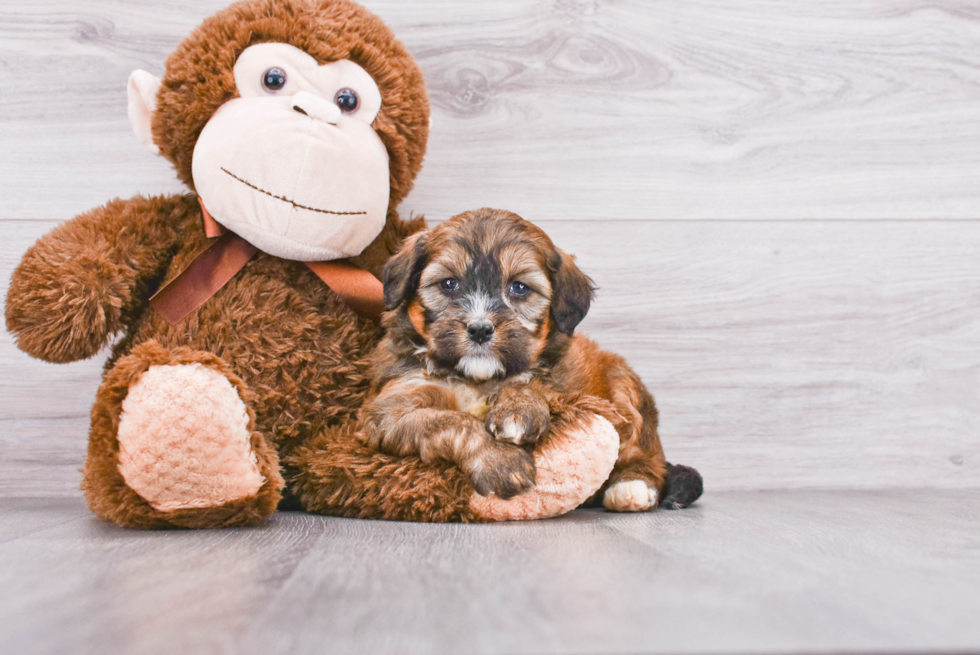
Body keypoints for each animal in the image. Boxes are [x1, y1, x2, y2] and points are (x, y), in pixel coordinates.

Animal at [360, 208, 672, 510]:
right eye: (449, 284)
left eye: (519, 288)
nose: (480, 329)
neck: (476, 379)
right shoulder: (391, 407)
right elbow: (450, 421)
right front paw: (499, 461)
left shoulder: (560, 384)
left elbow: (529, 382)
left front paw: (519, 408)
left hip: (623, 387)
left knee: (642, 449)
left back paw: (632, 486)